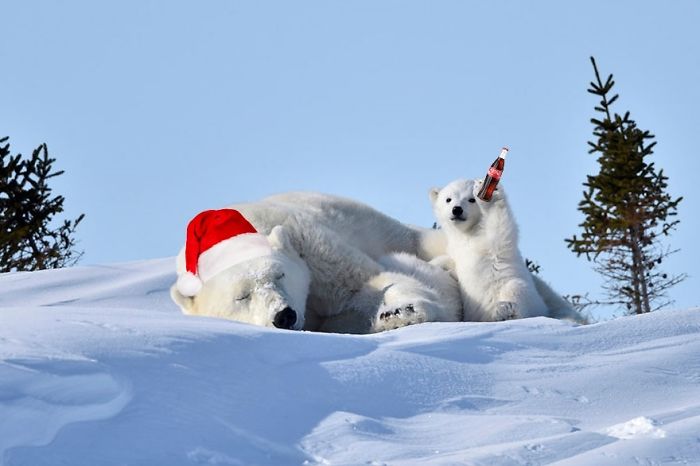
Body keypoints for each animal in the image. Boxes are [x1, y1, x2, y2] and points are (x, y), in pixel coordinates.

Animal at [171, 192, 462, 333]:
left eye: (280, 274)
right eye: (241, 297)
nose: (284, 315)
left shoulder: (310, 247)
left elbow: (367, 282)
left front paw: (402, 311)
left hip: (390, 230)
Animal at [429, 178, 585, 323]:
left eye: (471, 199)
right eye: (448, 199)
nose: (457, 209)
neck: (468, 234)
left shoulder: (492, 243)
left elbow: (500, 227)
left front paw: (489, 193)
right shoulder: (456, 248)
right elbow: (450, 261)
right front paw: (435, 264)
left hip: (528, 298)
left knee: (516, 290)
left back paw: (505, 311)